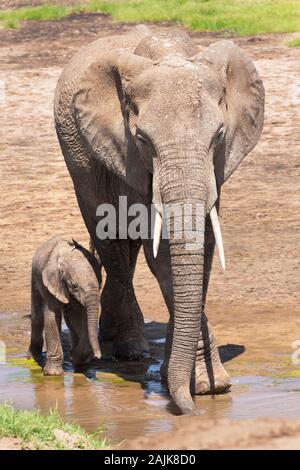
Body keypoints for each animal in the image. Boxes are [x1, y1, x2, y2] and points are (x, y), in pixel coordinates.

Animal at [28, 237, 102, 376]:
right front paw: (53, 374)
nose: (98, 356)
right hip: (35, 275)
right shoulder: (52, 281)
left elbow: (77, 316)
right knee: (37, 315)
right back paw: (32, 359)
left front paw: (76, 359)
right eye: (74, 285)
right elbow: (52, 316)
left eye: (99, 282)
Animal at [54, 27, 264, 414]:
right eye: (141, 139)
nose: (189, 412)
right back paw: (129, 349)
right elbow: (162, 254)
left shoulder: (216, 166)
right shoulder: (129, 156)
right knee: (112, 241)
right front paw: (198, 387)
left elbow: (202, 245)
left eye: (219, 135)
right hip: (80, 160)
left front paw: (206, 386)